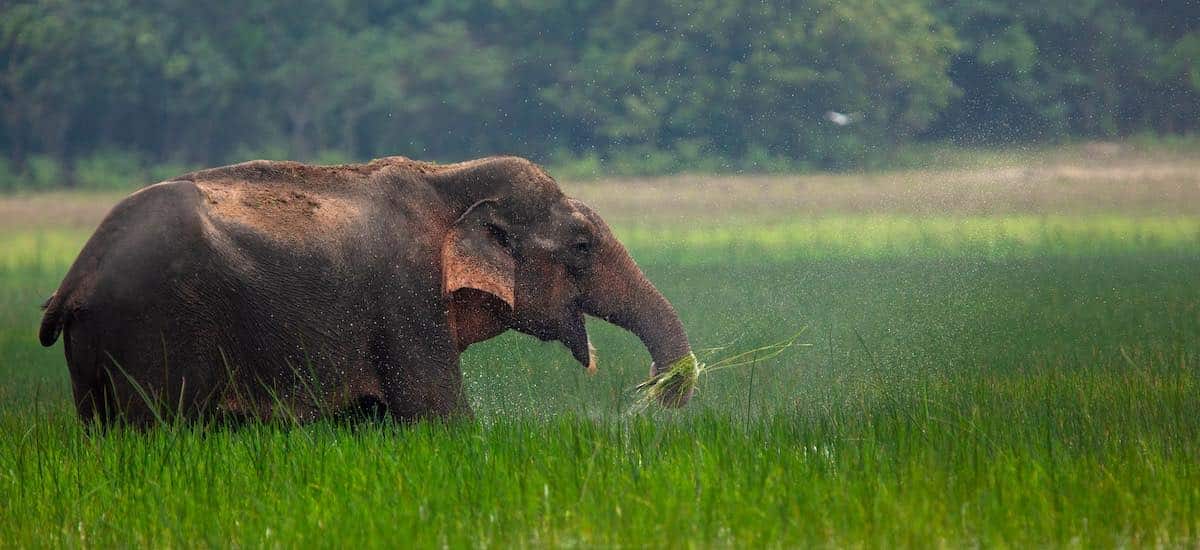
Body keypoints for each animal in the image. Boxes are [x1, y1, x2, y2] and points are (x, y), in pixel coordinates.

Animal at [39, 154, 696, 425]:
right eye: (582, 246)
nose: (660, 392)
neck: (446, 178)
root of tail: (76, 276)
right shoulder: (404, 298)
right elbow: (438, 414)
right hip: (152, 331)